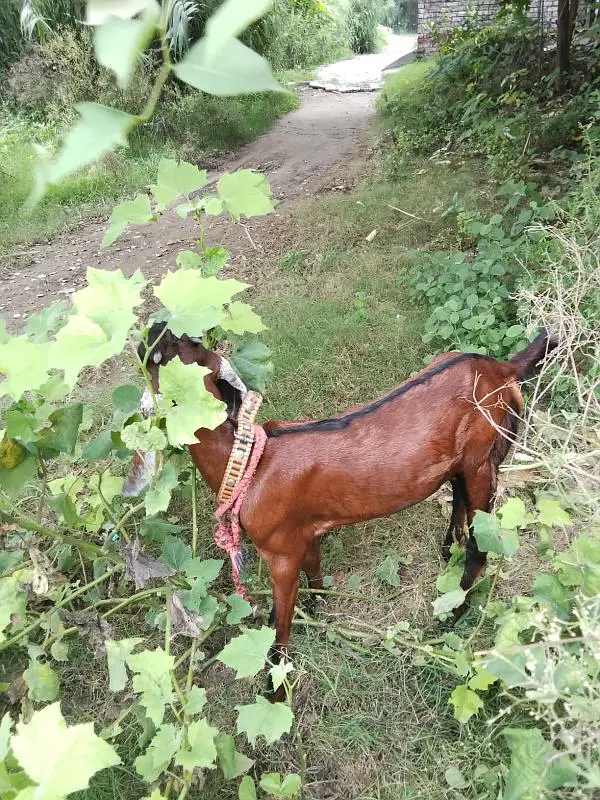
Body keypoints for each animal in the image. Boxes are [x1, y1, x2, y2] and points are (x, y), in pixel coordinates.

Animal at [126, 326, 557, 697]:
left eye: (178, 356)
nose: (156, 330)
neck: (250, 462)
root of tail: (502, 368)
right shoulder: (303, 533)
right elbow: (314, 573)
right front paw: (319, 610)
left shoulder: (279, 551)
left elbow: (279, 627)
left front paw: (275, 691)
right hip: (467, 462)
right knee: (459, 500)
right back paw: (446, 548)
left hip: (484, 457)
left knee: (481, 543)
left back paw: (452, 614)